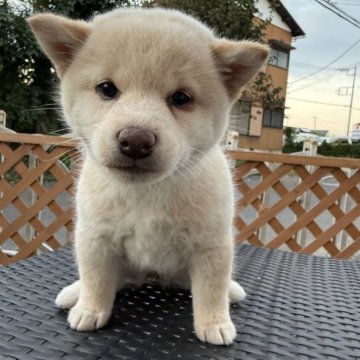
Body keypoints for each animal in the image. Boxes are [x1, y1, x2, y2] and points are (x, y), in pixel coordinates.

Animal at [28, 7, 268, 346]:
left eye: (181, 98)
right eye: (107, 89)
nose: (136, 140)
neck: (147, 194)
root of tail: (152, 277)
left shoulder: (211, 245)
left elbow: (210, 289)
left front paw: (214, 322)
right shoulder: (95, 238)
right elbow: (96, 279)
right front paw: (90, 309)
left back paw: (231, 292)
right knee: (110, 280)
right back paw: (74, 294)